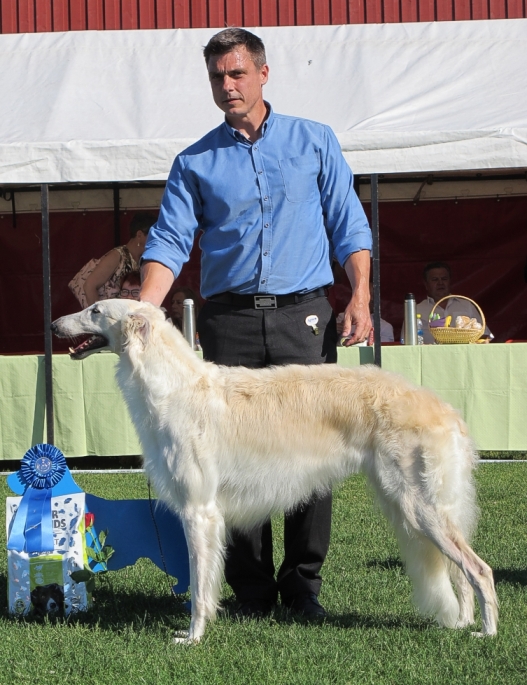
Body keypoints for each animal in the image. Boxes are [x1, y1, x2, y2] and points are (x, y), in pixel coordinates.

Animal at [52, 300, 500, 640]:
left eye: (94, 310)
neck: (175, 388)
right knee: (461, 573)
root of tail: (447, 411)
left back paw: (487, 631)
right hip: (421, 507)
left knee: (480, 570)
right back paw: (463, 624)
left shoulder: (199, 511)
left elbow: (198, 587)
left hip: (419, 505)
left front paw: (192, 636)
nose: (54, 323)